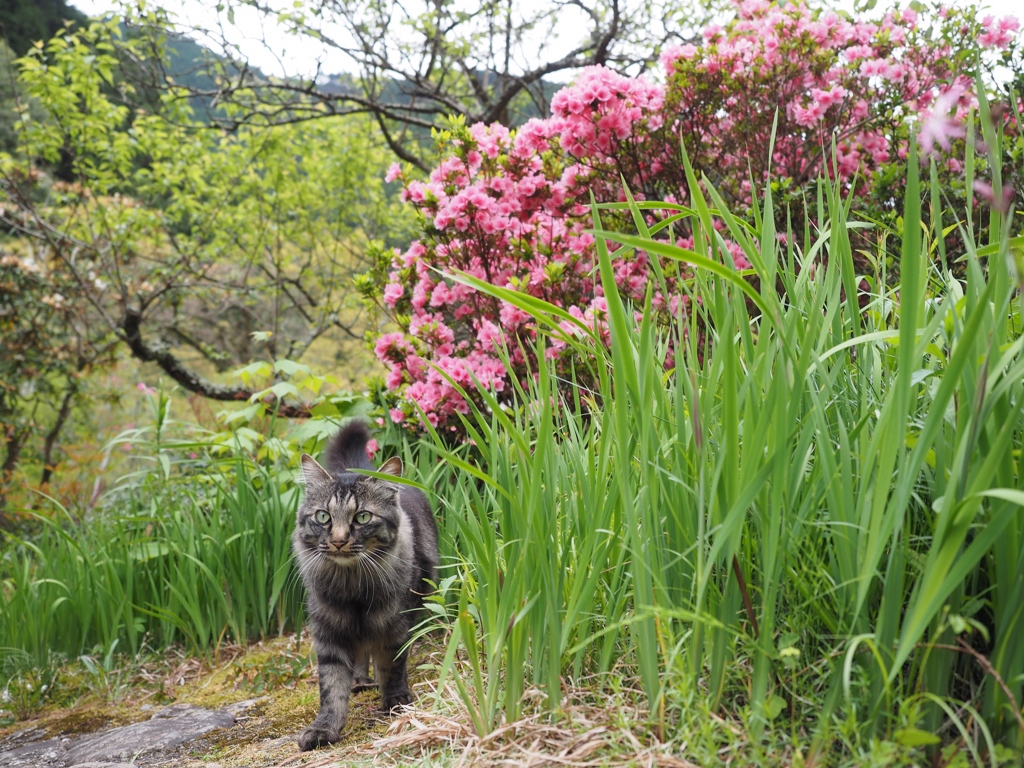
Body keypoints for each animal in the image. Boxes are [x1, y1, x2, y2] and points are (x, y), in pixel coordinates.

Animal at [290, 421, 438, 753]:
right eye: (323, 517)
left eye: (362, 517)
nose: (339, 540)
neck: (352, 590)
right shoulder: (329, 634)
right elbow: (331, 688)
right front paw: (324, 729)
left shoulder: (395, 627)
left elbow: (392, 666)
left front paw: (395, 700)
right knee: (358, 659)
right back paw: (359, 680)